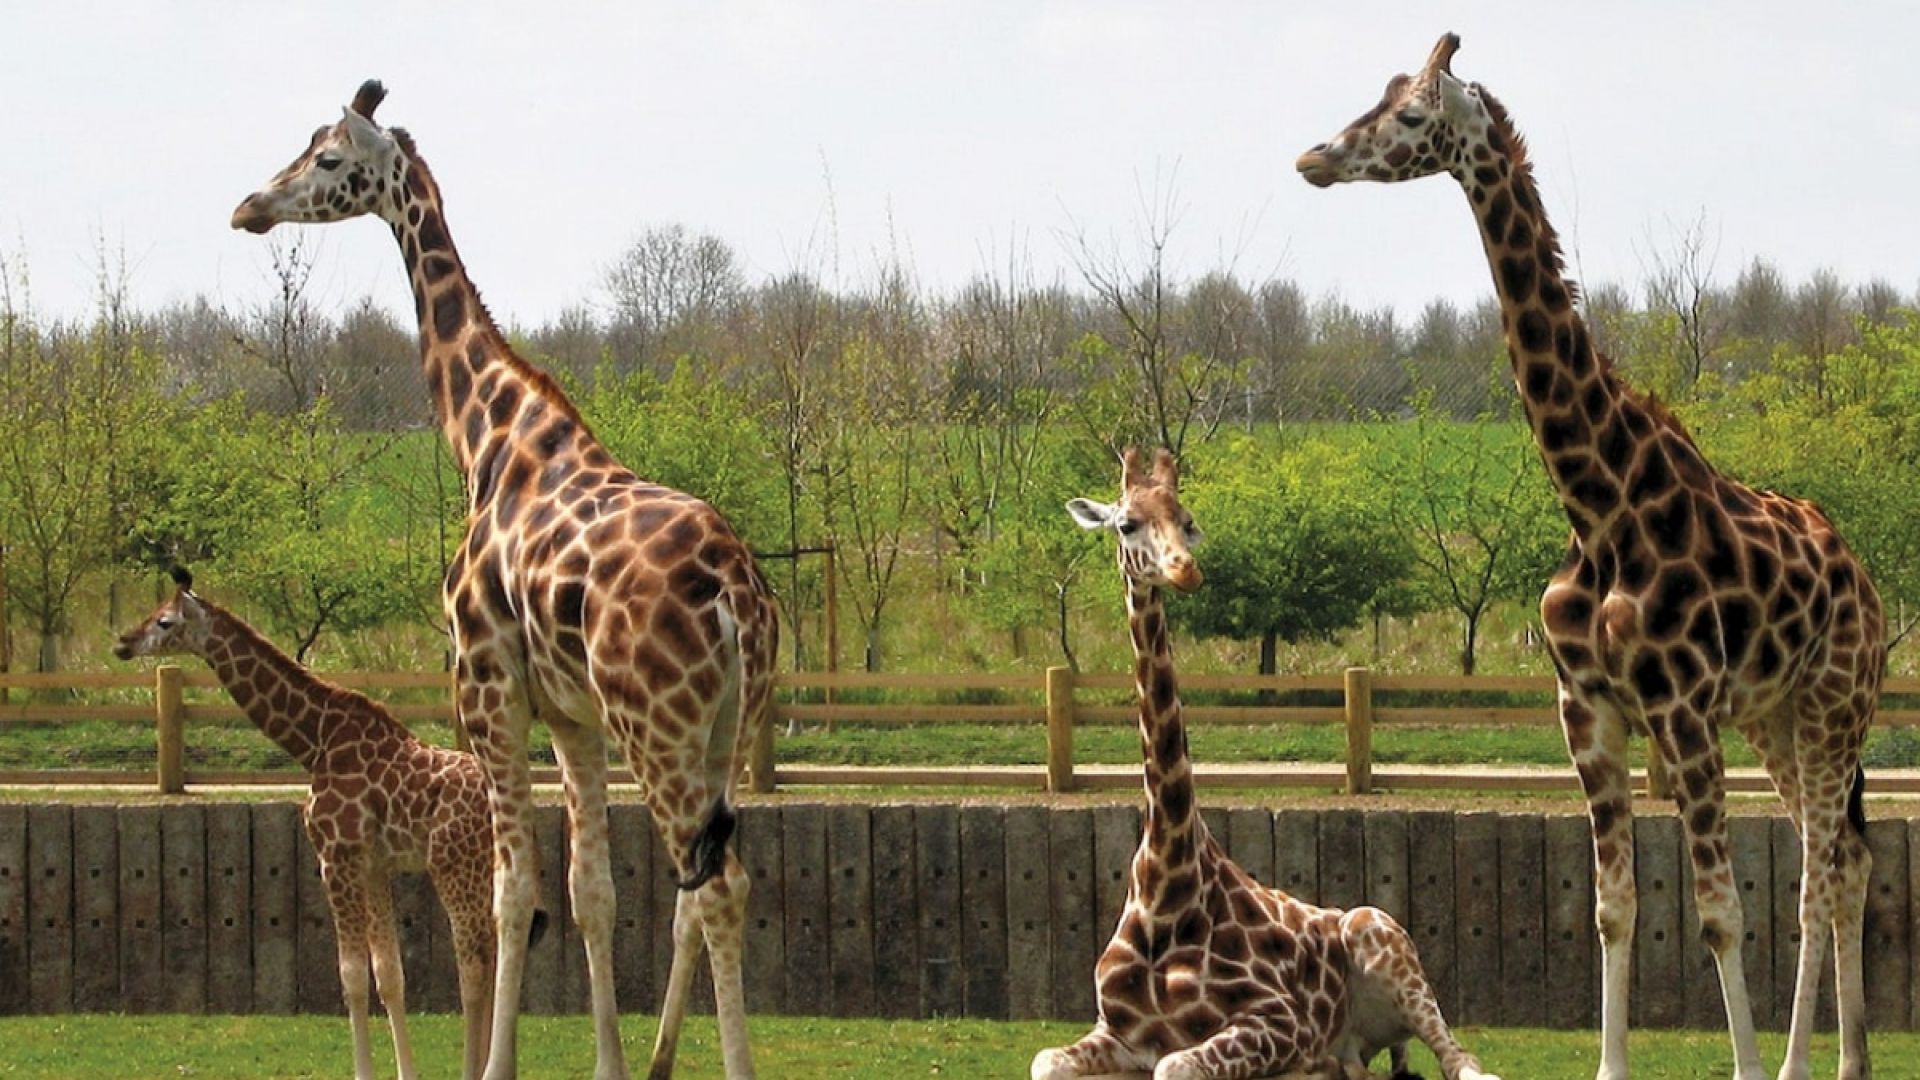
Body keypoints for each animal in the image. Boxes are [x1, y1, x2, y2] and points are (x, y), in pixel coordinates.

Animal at [113, 567, 539, 1080]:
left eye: (165, 621)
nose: (122, 642)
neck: (312, 740)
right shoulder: (373, 865)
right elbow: (389, 975)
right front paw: (406, 1072)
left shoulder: (335, 857)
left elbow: (352, 976)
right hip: (483, 868)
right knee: (499, 952)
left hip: (453, 867)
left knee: (473, 968)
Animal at [231, 81, 779, 1080]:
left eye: (328, 158)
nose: (249, 207)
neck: (487, 438)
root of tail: (737, 593)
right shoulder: (570, 715)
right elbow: (590, 890)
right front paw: (608, 1063)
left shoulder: (485, 686)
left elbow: (510, 893)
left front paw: (495, 1064)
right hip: (726, 725)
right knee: (700, 882)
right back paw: (662, 1057)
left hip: (659, 726)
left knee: (719, 885)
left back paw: (734, 1066)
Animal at [1034, 448, 1496, 1080]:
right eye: (1126, 523)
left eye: (1188, 521)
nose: (1185, 571)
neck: (1164, 889)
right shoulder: (1119, 1032)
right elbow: (1046, 1060)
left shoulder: (1280, 1020)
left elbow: (1174, 1065)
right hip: (1360, 1041)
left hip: (1381, 935)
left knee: (1465, 1061)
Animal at [1298, 34, 1884, 1080]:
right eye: (1379, 94)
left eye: (1412, 116)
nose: (1314, 157)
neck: (1602, 506)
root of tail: (1869, 585)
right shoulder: (1589, 711)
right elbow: (1615, 911)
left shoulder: (1683, 713)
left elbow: (1721, 915)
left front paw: (1744, 1062)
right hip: (1774, 718)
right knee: (1845, 861)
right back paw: (1847, 1059)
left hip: (1832, 708)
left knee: (1819, 875)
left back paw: (1796, 1065)